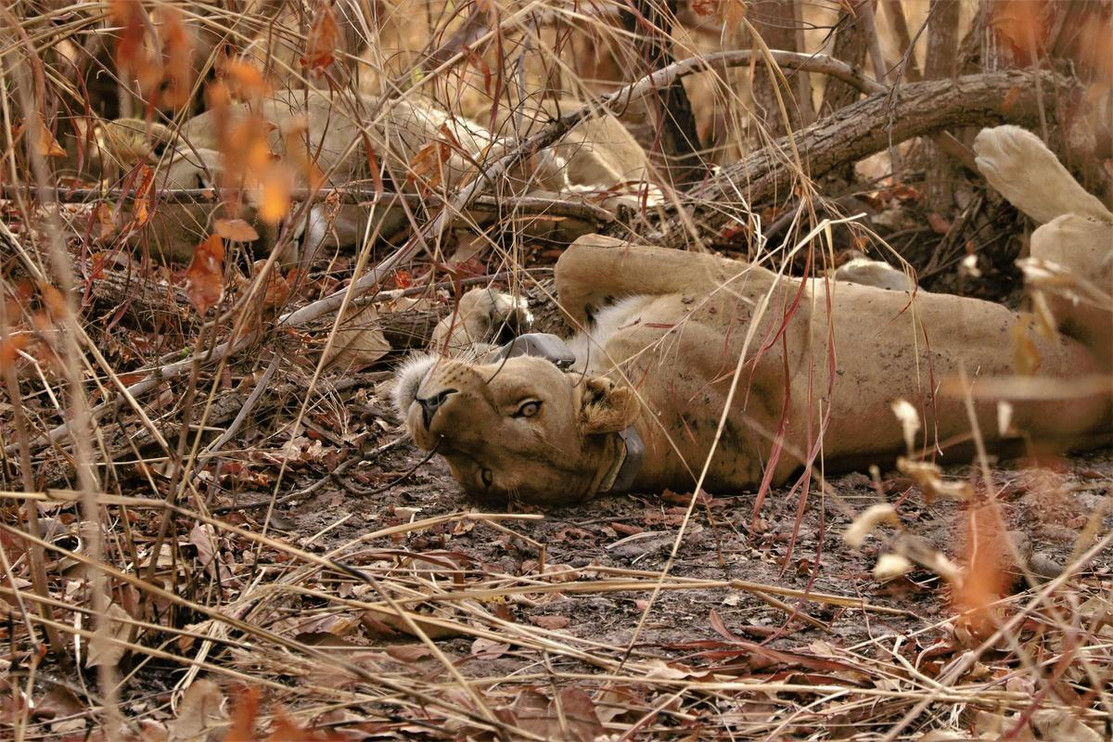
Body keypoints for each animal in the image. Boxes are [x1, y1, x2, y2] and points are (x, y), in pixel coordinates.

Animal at [394, 125, 1113, 506]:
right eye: (481, 472)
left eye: (527, 409)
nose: (429, 409)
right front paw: (496, 313)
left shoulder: (733, 278)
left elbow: (575, 259)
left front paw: (511, 310)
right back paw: (868, 271)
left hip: (1059, 250)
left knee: (1088, 214)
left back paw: (1007, 149)